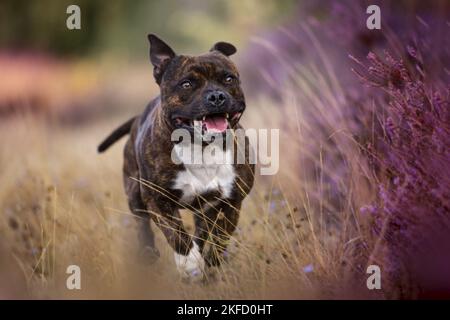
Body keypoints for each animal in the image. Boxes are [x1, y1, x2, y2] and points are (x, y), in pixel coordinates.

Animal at [97, 35, 255, 278]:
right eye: (187, 84)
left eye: (229, 79)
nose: (216, 96)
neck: (201, 149)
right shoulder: (158, 200)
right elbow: (177, 236)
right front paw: (189, 265)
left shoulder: (231, 202)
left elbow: (219, 239)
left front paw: (210, 264)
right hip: (134, 193)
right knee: (142, 222)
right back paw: (148, 252)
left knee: (201, 232)